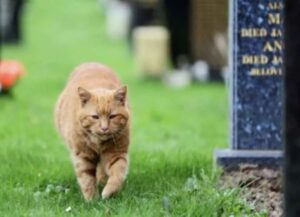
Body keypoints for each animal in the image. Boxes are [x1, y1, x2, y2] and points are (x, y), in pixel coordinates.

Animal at [55, 62, 130, 200]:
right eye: (95, 117)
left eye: (112, 116)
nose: (104, 128)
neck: (99, 143)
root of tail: (92, 62)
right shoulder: (82, 156)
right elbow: (87, 179)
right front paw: (92, 199)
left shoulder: (116, 154)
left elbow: (117, 174)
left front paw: (108, 192)